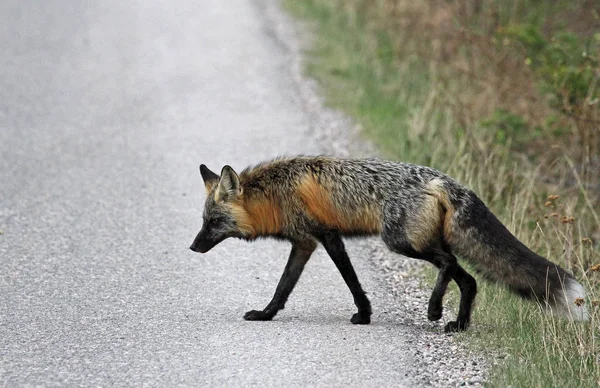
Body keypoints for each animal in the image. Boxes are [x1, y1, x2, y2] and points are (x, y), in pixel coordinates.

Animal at [190, 156, 588, 332]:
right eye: (204, 220)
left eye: (214, 222)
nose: (193, 247)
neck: (275, 193)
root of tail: (443, 180)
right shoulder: (305, 242)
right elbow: (283, 286)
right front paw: (267, 314)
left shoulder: (326, 237)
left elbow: (352, 282)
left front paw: (364, 315)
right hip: (420, 242)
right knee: (469, 280)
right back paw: (458, 324)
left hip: (400, 241)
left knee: (448, 265)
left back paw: (434, 310)